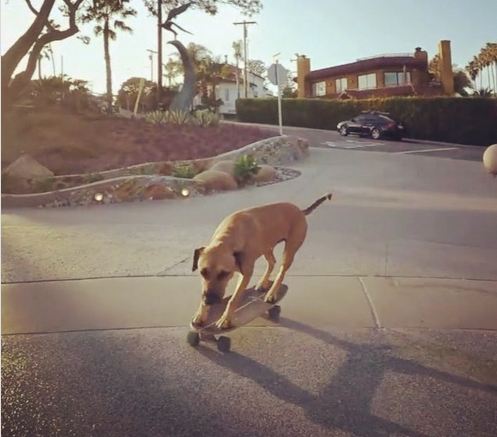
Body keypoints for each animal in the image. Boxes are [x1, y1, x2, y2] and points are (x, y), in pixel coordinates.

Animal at [192, 192, 332, 328]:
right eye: (202, 272)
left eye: (224, 273)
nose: (209, 300)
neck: (227, 238)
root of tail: (300, 211)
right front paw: (201, 314)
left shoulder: (246, 273)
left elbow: (233, 299)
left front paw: (226, 319)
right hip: (266, 247)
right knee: (272, 262)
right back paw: (263, 282)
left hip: (289, 250)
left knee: (281, 271)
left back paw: (271, 293)